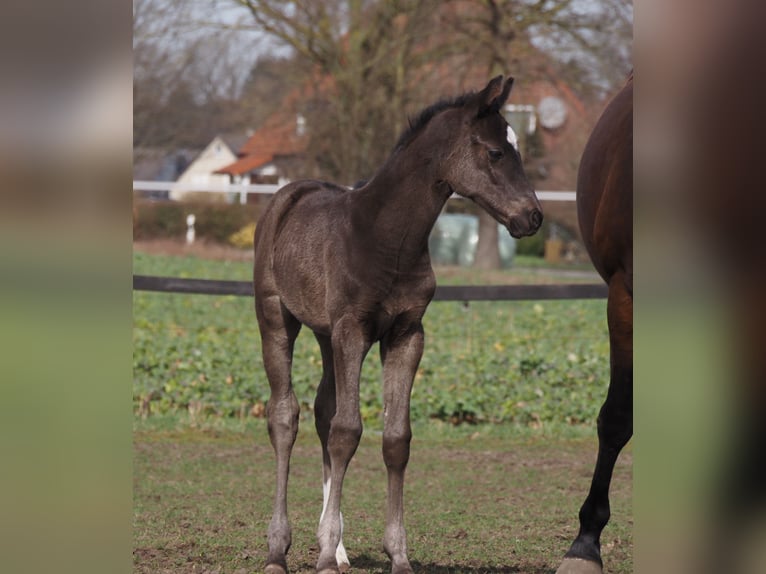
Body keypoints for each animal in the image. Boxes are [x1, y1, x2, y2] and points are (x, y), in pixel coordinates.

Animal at [255, 76, 544, 574]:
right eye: (494, 152)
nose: (533, 216)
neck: (387, 238)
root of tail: (287, 194)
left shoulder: (407, 333)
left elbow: (395, 438)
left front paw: (396, 554)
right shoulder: (353, 328)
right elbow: (348, 431)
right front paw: (324, 555)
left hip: (325, 334)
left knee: (322, 410)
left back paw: (339, 548)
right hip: (277, 318)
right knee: (285, 416)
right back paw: (280, 549)